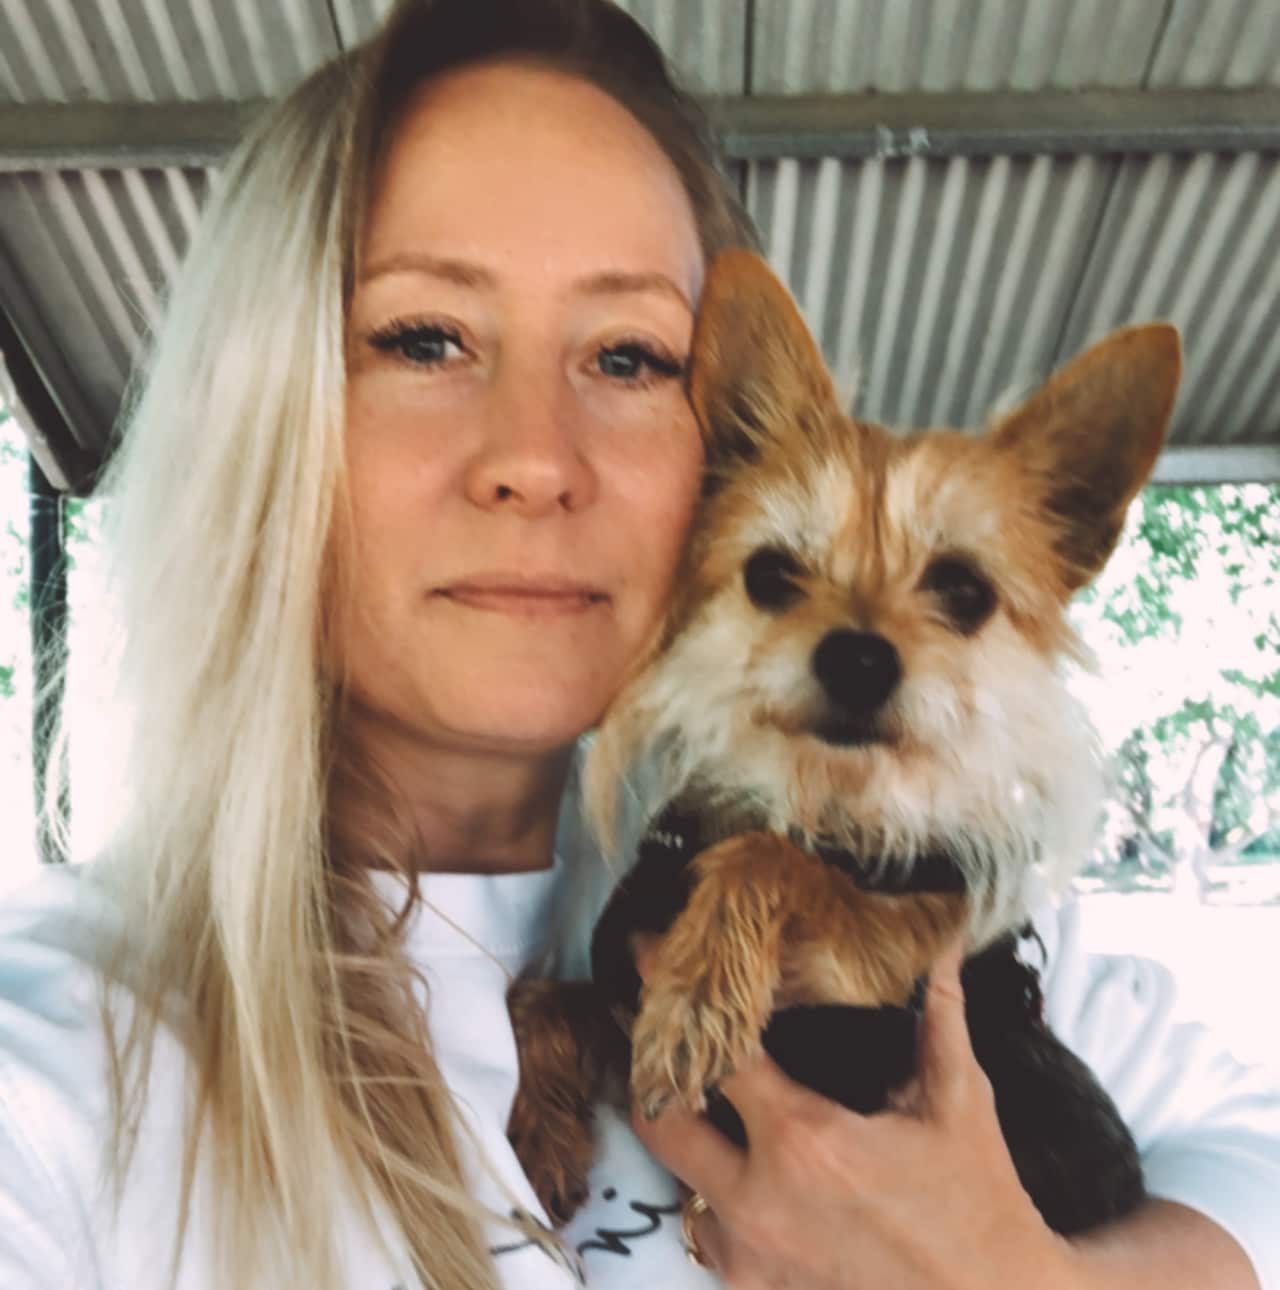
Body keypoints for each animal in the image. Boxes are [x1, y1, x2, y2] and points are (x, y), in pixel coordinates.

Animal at [508, 246, 1181, 1233]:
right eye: (770, 574)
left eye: (964, 590)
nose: (859, 658)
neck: (825, 805)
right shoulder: (618, 969)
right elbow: (541, 997)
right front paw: (536, 1133)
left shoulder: (888, 967)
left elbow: (774, 861)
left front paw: (699, 993)